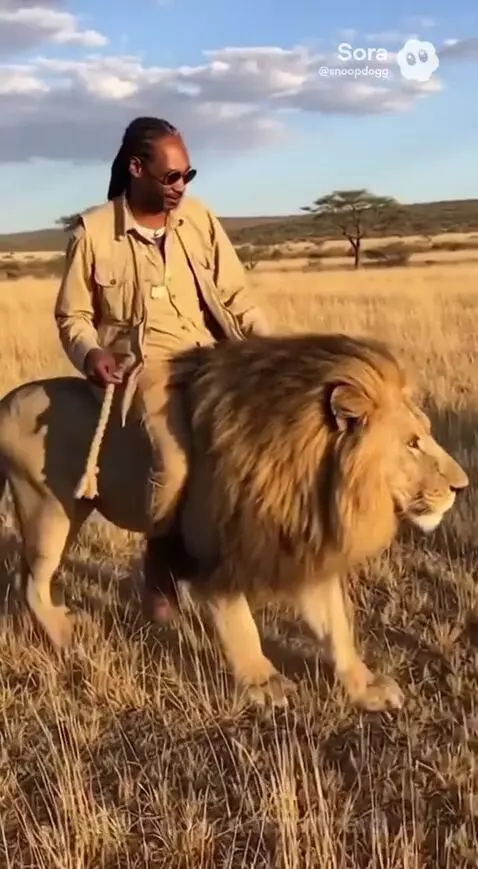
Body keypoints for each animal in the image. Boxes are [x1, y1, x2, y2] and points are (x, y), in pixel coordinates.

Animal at [0, 332, 469, 712]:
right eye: (412, 443)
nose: (462, 487)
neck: (315, 477)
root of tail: (7, 401)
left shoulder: (302, 544)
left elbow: (336, 625)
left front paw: (364, 687)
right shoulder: (217, 552)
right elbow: (240, 624)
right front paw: (264, 684)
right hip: (49, 511)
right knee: (32, 581)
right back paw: (66, 634)